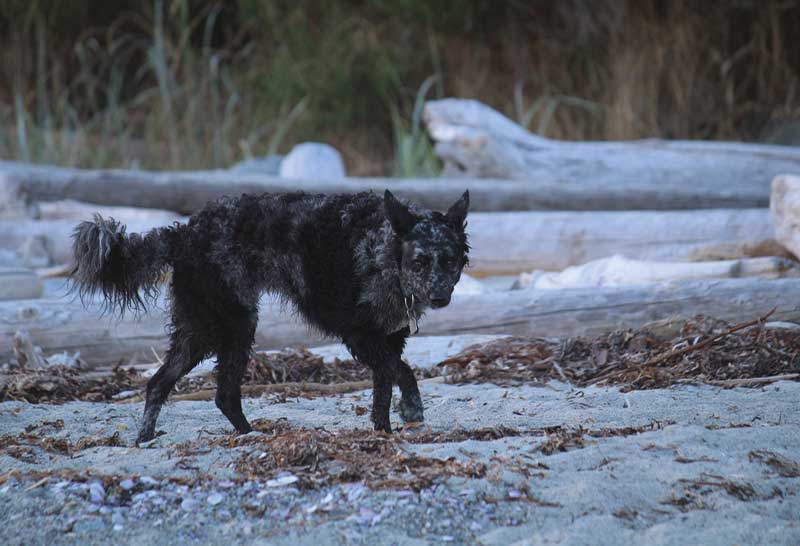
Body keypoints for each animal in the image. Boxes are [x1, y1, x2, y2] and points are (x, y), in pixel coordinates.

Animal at [70, 189, 468, 440]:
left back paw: (152, 439)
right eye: (419, 262)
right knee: (218, 393)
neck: (383, 250)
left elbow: (386, 385)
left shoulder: (388, 338)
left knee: (166, 385)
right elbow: (400, 371)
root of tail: (186, 231)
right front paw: (408, 412)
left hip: (206, 330)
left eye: (450, 261)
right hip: (227, 326)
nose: (439, 297)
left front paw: (385, 430)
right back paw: (247, 436)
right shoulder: (359, 335)